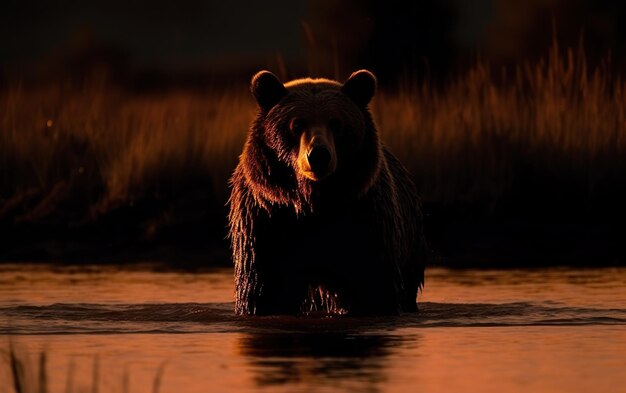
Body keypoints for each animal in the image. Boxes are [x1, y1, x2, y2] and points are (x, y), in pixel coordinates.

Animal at [227, 69, 426, 316]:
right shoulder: (268, 221)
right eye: (296, 124)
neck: (315, 203)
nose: (319, 154)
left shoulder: (365, 218)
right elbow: (261, 290)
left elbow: (372, 285)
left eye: (337, 123)